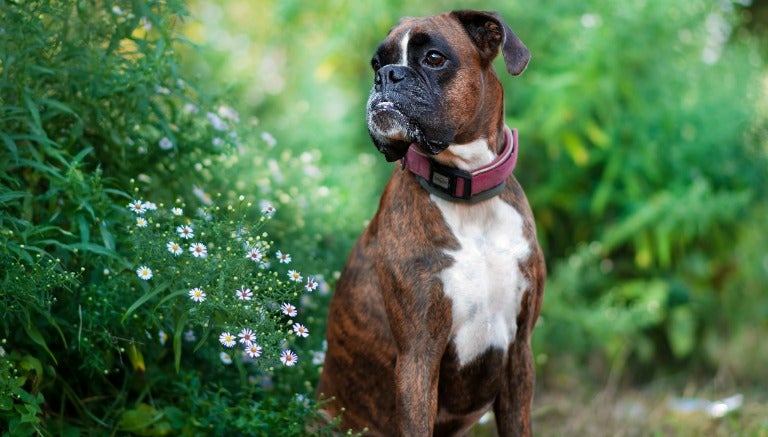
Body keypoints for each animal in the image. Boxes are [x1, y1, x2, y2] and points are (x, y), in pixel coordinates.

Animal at [318, 10, 544, 436]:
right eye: (377, 62)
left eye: (434, 58)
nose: (386, 75)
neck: (468, 194)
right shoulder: (418, 358)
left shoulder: (520, 351)